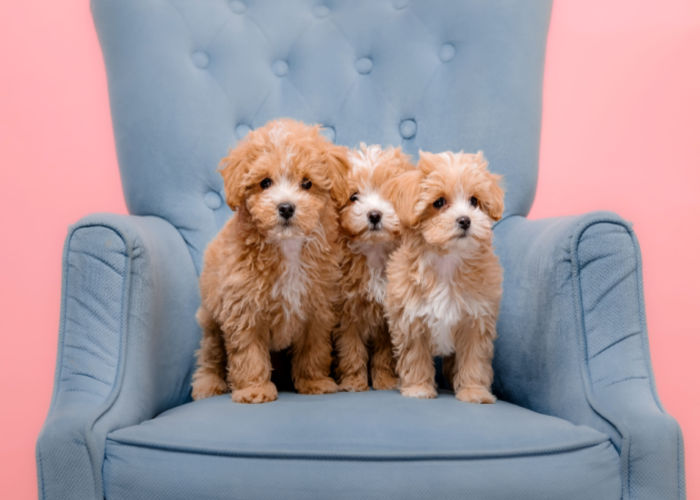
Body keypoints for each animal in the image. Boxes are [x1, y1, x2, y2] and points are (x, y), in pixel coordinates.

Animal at [190, 119, 348, 404]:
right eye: (265, 183)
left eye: (307, 183)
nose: (286, 207)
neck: (288, 246)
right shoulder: (243, 307)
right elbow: (248, 353)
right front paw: (254, 390)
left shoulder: (317, 308)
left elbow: (314, 349)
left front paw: (314, 382)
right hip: (211, 321)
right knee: (210, 356)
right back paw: (208, 384)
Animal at [332, 144, 412, 390]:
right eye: (354, 197)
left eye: (389, 195)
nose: (374, 215)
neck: (374, 251)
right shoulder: (347, 311)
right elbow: (351, 350)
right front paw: (354, 382)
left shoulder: (388, 318)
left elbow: (385, 354)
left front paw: (385, 380)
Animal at [382, 149, 504, 402]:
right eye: (438, 203)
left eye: (474, 201)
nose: (465, 220)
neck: (447, 261)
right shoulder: (410, 319)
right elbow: (415, 356)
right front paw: (418, 388)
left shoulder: (476, 320)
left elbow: (474, 359)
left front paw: (474, 391)